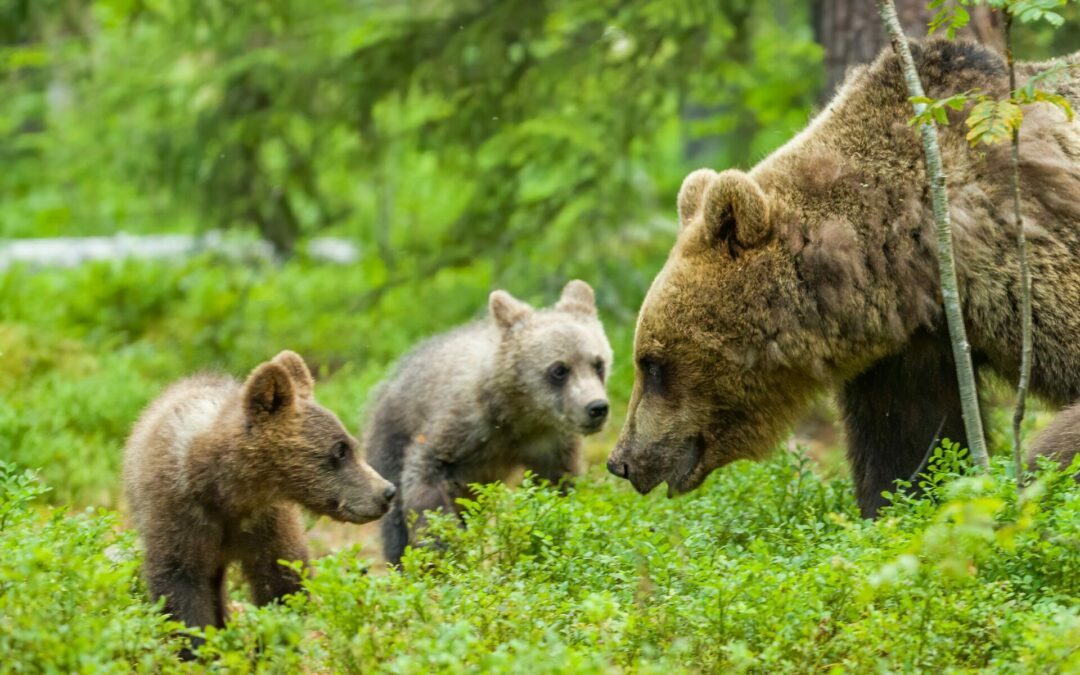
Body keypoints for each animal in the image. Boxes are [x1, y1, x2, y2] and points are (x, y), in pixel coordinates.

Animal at [604, 40, 1080, 516]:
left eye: (652, 364)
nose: (621, 461)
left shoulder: (1024, 259)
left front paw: (1035, 469)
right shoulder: (912, 348)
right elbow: (907, 447)